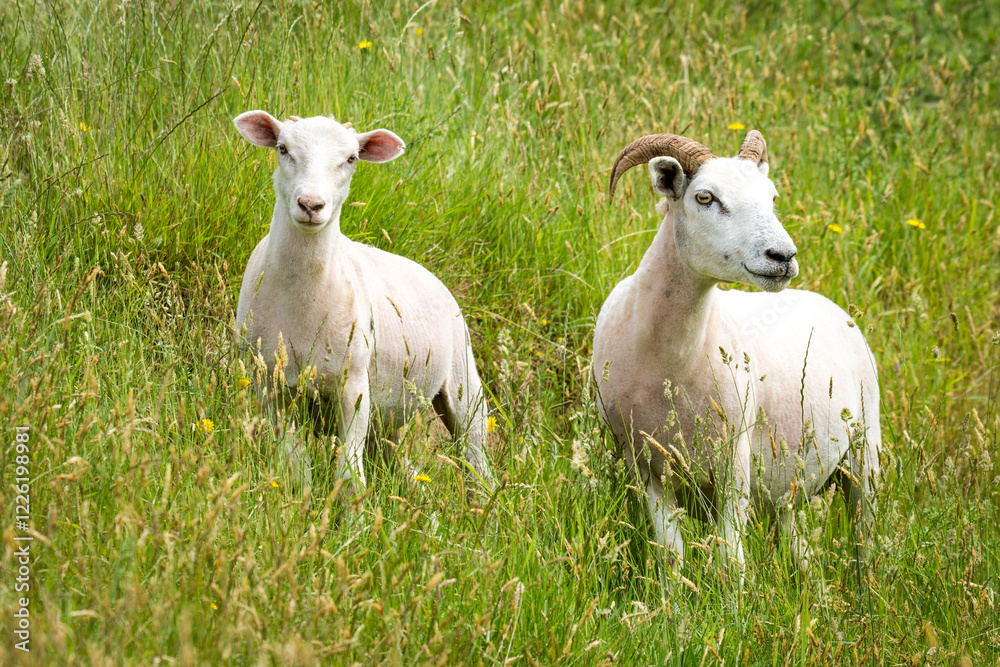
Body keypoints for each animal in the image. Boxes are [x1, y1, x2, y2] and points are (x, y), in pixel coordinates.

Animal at [232, 110, 495, 494]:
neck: (302, 301)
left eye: (351, 159)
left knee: (476, 461)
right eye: (283, 149)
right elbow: (294, 467)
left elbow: (350, 476)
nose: (311, 205)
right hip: (389, 418)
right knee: (400, 466)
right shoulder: (270, 384)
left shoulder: (354, 385)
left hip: (464, 388)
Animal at [592, 131, 880, 580]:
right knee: (801, 552)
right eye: (705, 197)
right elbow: (671, 557)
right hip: (788, 485)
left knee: (864, 540)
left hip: (866, 453)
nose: (783, 257)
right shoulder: (645, 466)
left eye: (772, 196)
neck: (668, 363)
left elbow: (731, 561)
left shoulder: (735, 464)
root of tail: (831, 304)